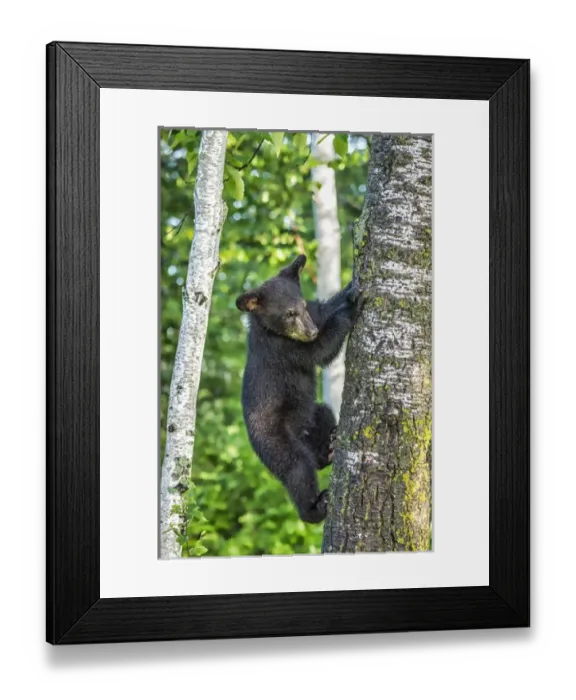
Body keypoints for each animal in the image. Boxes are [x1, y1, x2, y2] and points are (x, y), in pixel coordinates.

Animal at [236, 254, 364, 524]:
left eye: (303, 306)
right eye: (289, 313)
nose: (311, 330)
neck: (272, 330)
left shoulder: (314, 315)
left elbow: (325, 309)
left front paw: (350, 289)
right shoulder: (283, 349)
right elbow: (320, 350)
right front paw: (352, 305)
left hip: (310, 415)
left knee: (322, 420)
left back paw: (330, 448)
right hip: (275, 440)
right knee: (298, 469)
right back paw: (315, 508)